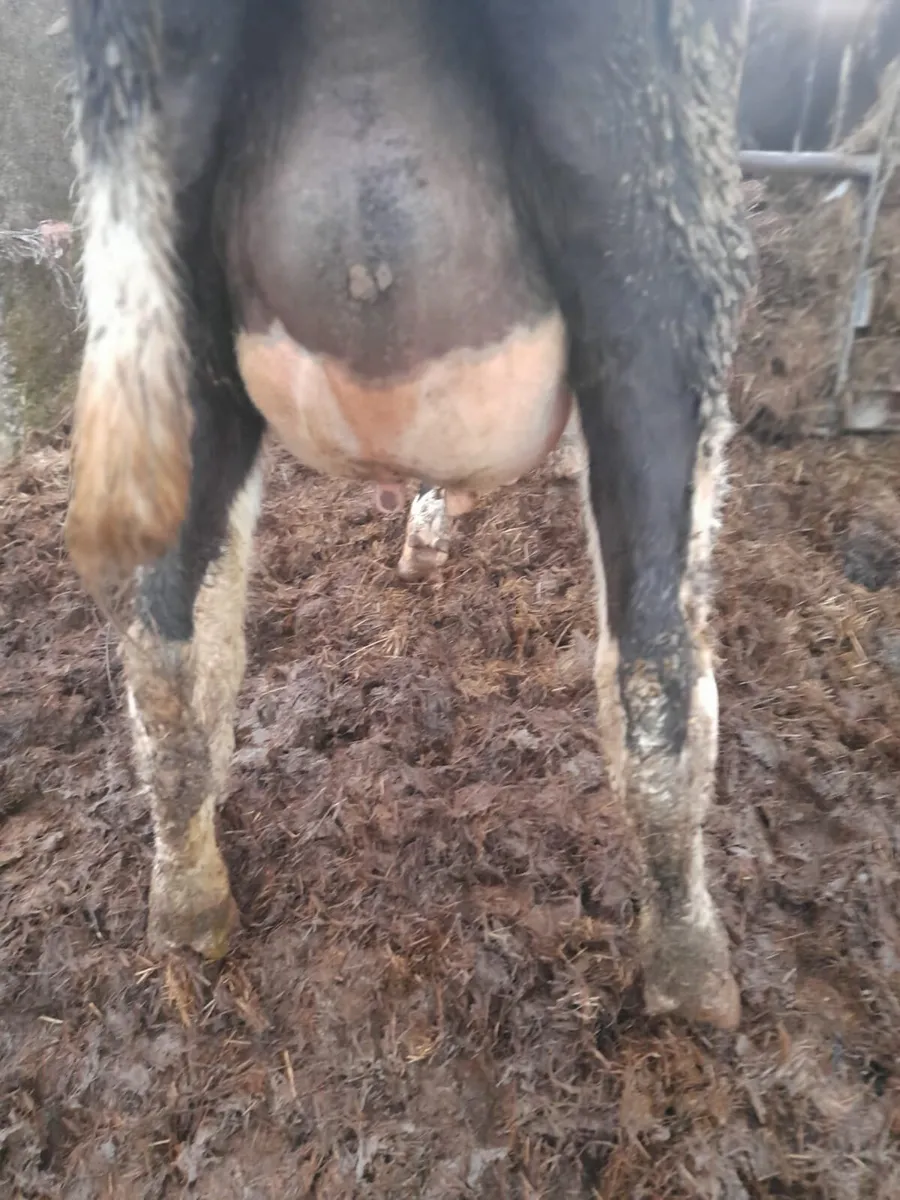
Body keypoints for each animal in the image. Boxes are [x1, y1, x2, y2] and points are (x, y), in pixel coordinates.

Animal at [65, 0, 754, 1030]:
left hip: (169, 269)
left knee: (164, 650)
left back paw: (189, 911)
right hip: (659, 238)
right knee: (657, 657)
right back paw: (695, 978)